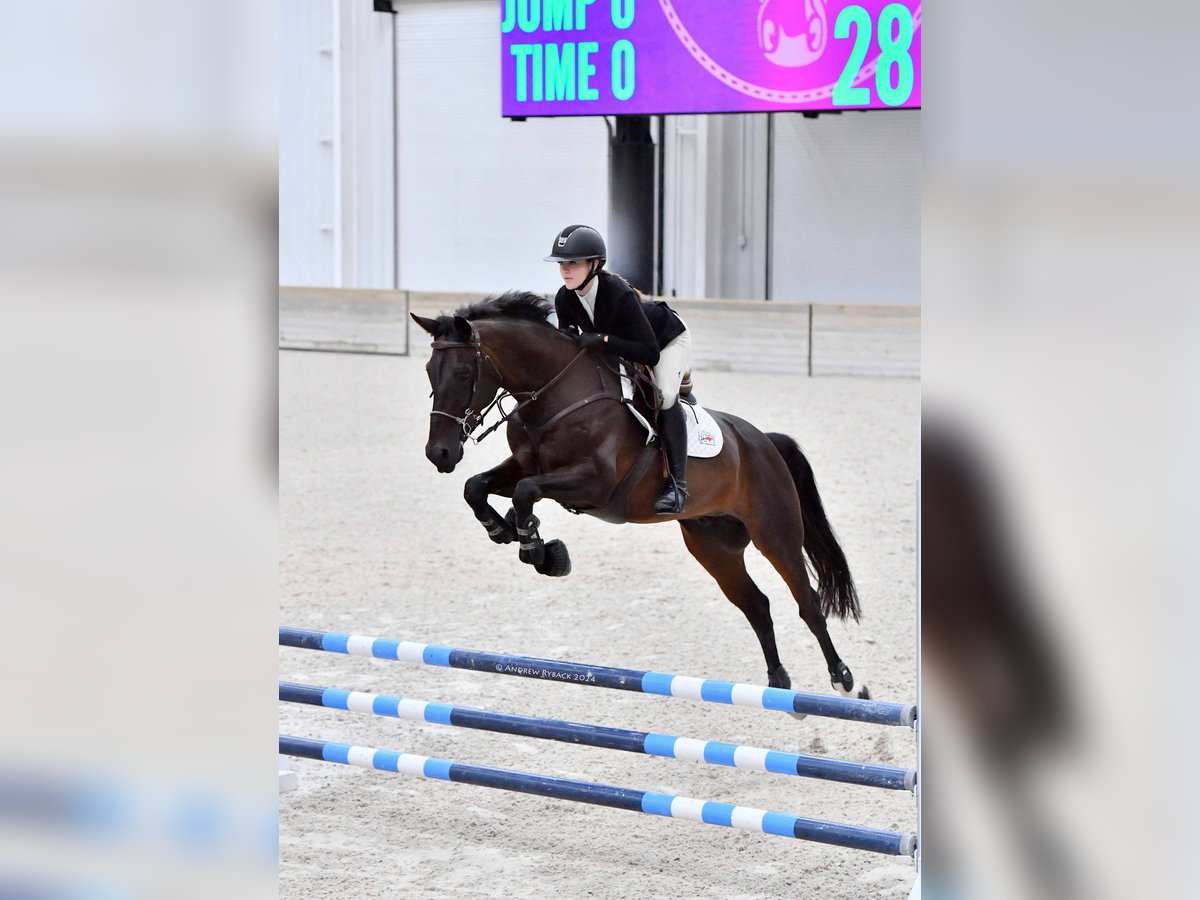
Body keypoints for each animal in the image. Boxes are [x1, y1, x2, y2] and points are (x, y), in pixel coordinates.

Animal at [415, 292, 873, 700]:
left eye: (463, 373)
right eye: (428, 371)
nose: (439, 454)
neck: (556, 394)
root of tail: (764, 442)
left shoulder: (593, 482)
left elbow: (526, 494)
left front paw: (539, 551)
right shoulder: (526, 466)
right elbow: (477, 487)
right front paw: (507, 531)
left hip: (775, 534)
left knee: (808, 603)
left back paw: (845, 681)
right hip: (714, 545)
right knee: (757, 605)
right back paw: (779, 684)